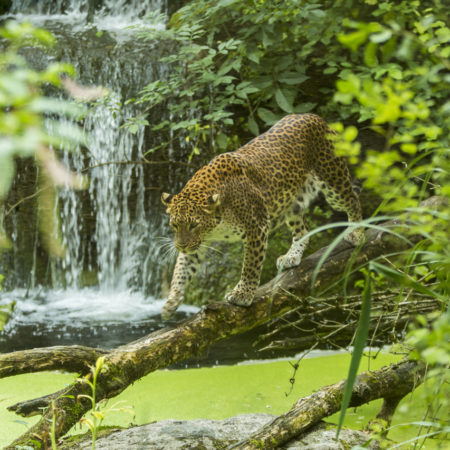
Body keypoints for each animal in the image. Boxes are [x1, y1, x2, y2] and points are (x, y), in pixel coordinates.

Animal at [161, 115, 362, 320]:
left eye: (194, 225)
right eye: (175, 225)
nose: (180, 245)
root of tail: (314, 117)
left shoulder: (256, 228)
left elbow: (250, 265)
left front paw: (242, 294)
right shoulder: (198, 242)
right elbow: (182, 268)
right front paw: (172, 300)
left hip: (332, 179)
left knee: (353, 198)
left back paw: (356, 233)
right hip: (293, 204)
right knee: (303, 230)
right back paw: (291, 256)